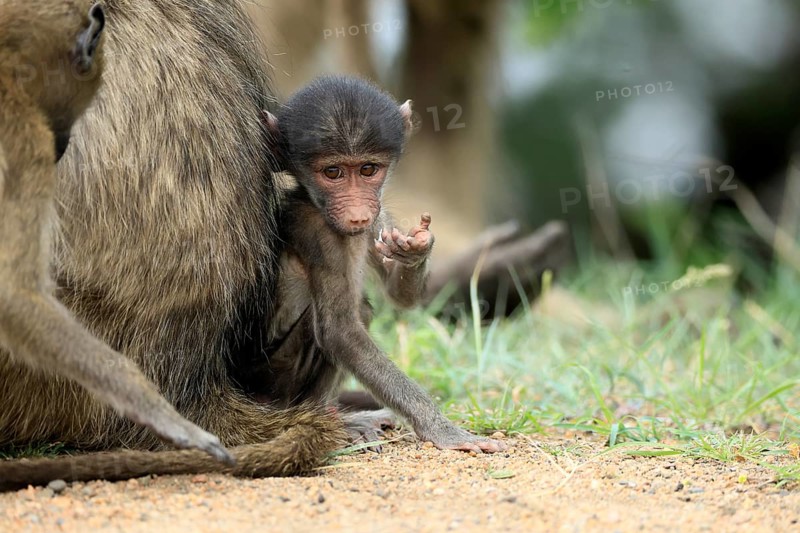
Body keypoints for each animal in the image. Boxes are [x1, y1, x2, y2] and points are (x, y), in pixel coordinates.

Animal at [260, 75, 506, 453]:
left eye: (368, 170)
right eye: (332, 172)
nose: (357, 211)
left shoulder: (375, 219)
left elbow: (399, 297)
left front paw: (416, 247)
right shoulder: (320, 234)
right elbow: (340, 332)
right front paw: (443, 430)